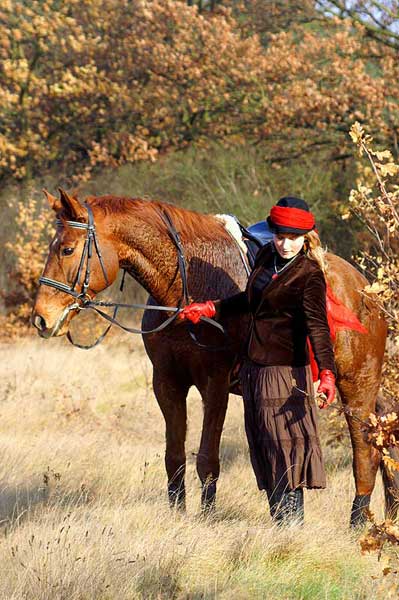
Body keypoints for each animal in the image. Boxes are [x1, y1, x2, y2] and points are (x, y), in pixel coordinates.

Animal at [32, 189, 396, 524]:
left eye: (67, 249)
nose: (42, 319)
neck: (186, 287)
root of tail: (365, 290)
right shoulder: (167, 383)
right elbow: (174, 457)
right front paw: (178, 514)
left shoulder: (215, 384)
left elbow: (207, 459)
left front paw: (206, 517)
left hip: (357, 387)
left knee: (365, 451)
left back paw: (357, 521)